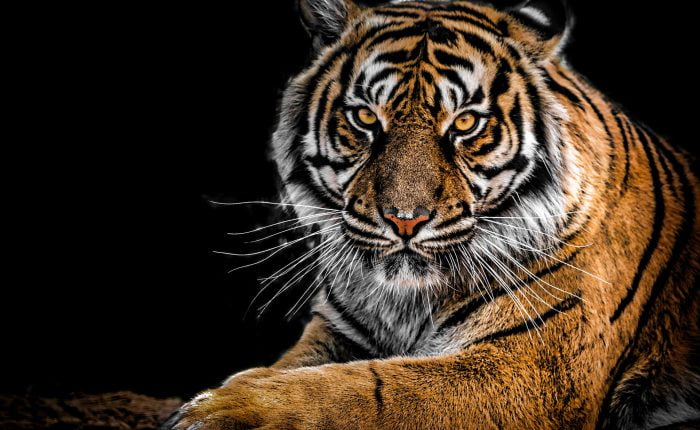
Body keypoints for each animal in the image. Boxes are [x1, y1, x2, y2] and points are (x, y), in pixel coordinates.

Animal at [165, 0, 700, 428]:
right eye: (365, 117)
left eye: (465, 123)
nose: (405, 219)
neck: (407, 302)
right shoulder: (337, 330)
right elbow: (300, 367)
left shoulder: (534, 367)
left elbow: (368, 389)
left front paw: (224, 409)